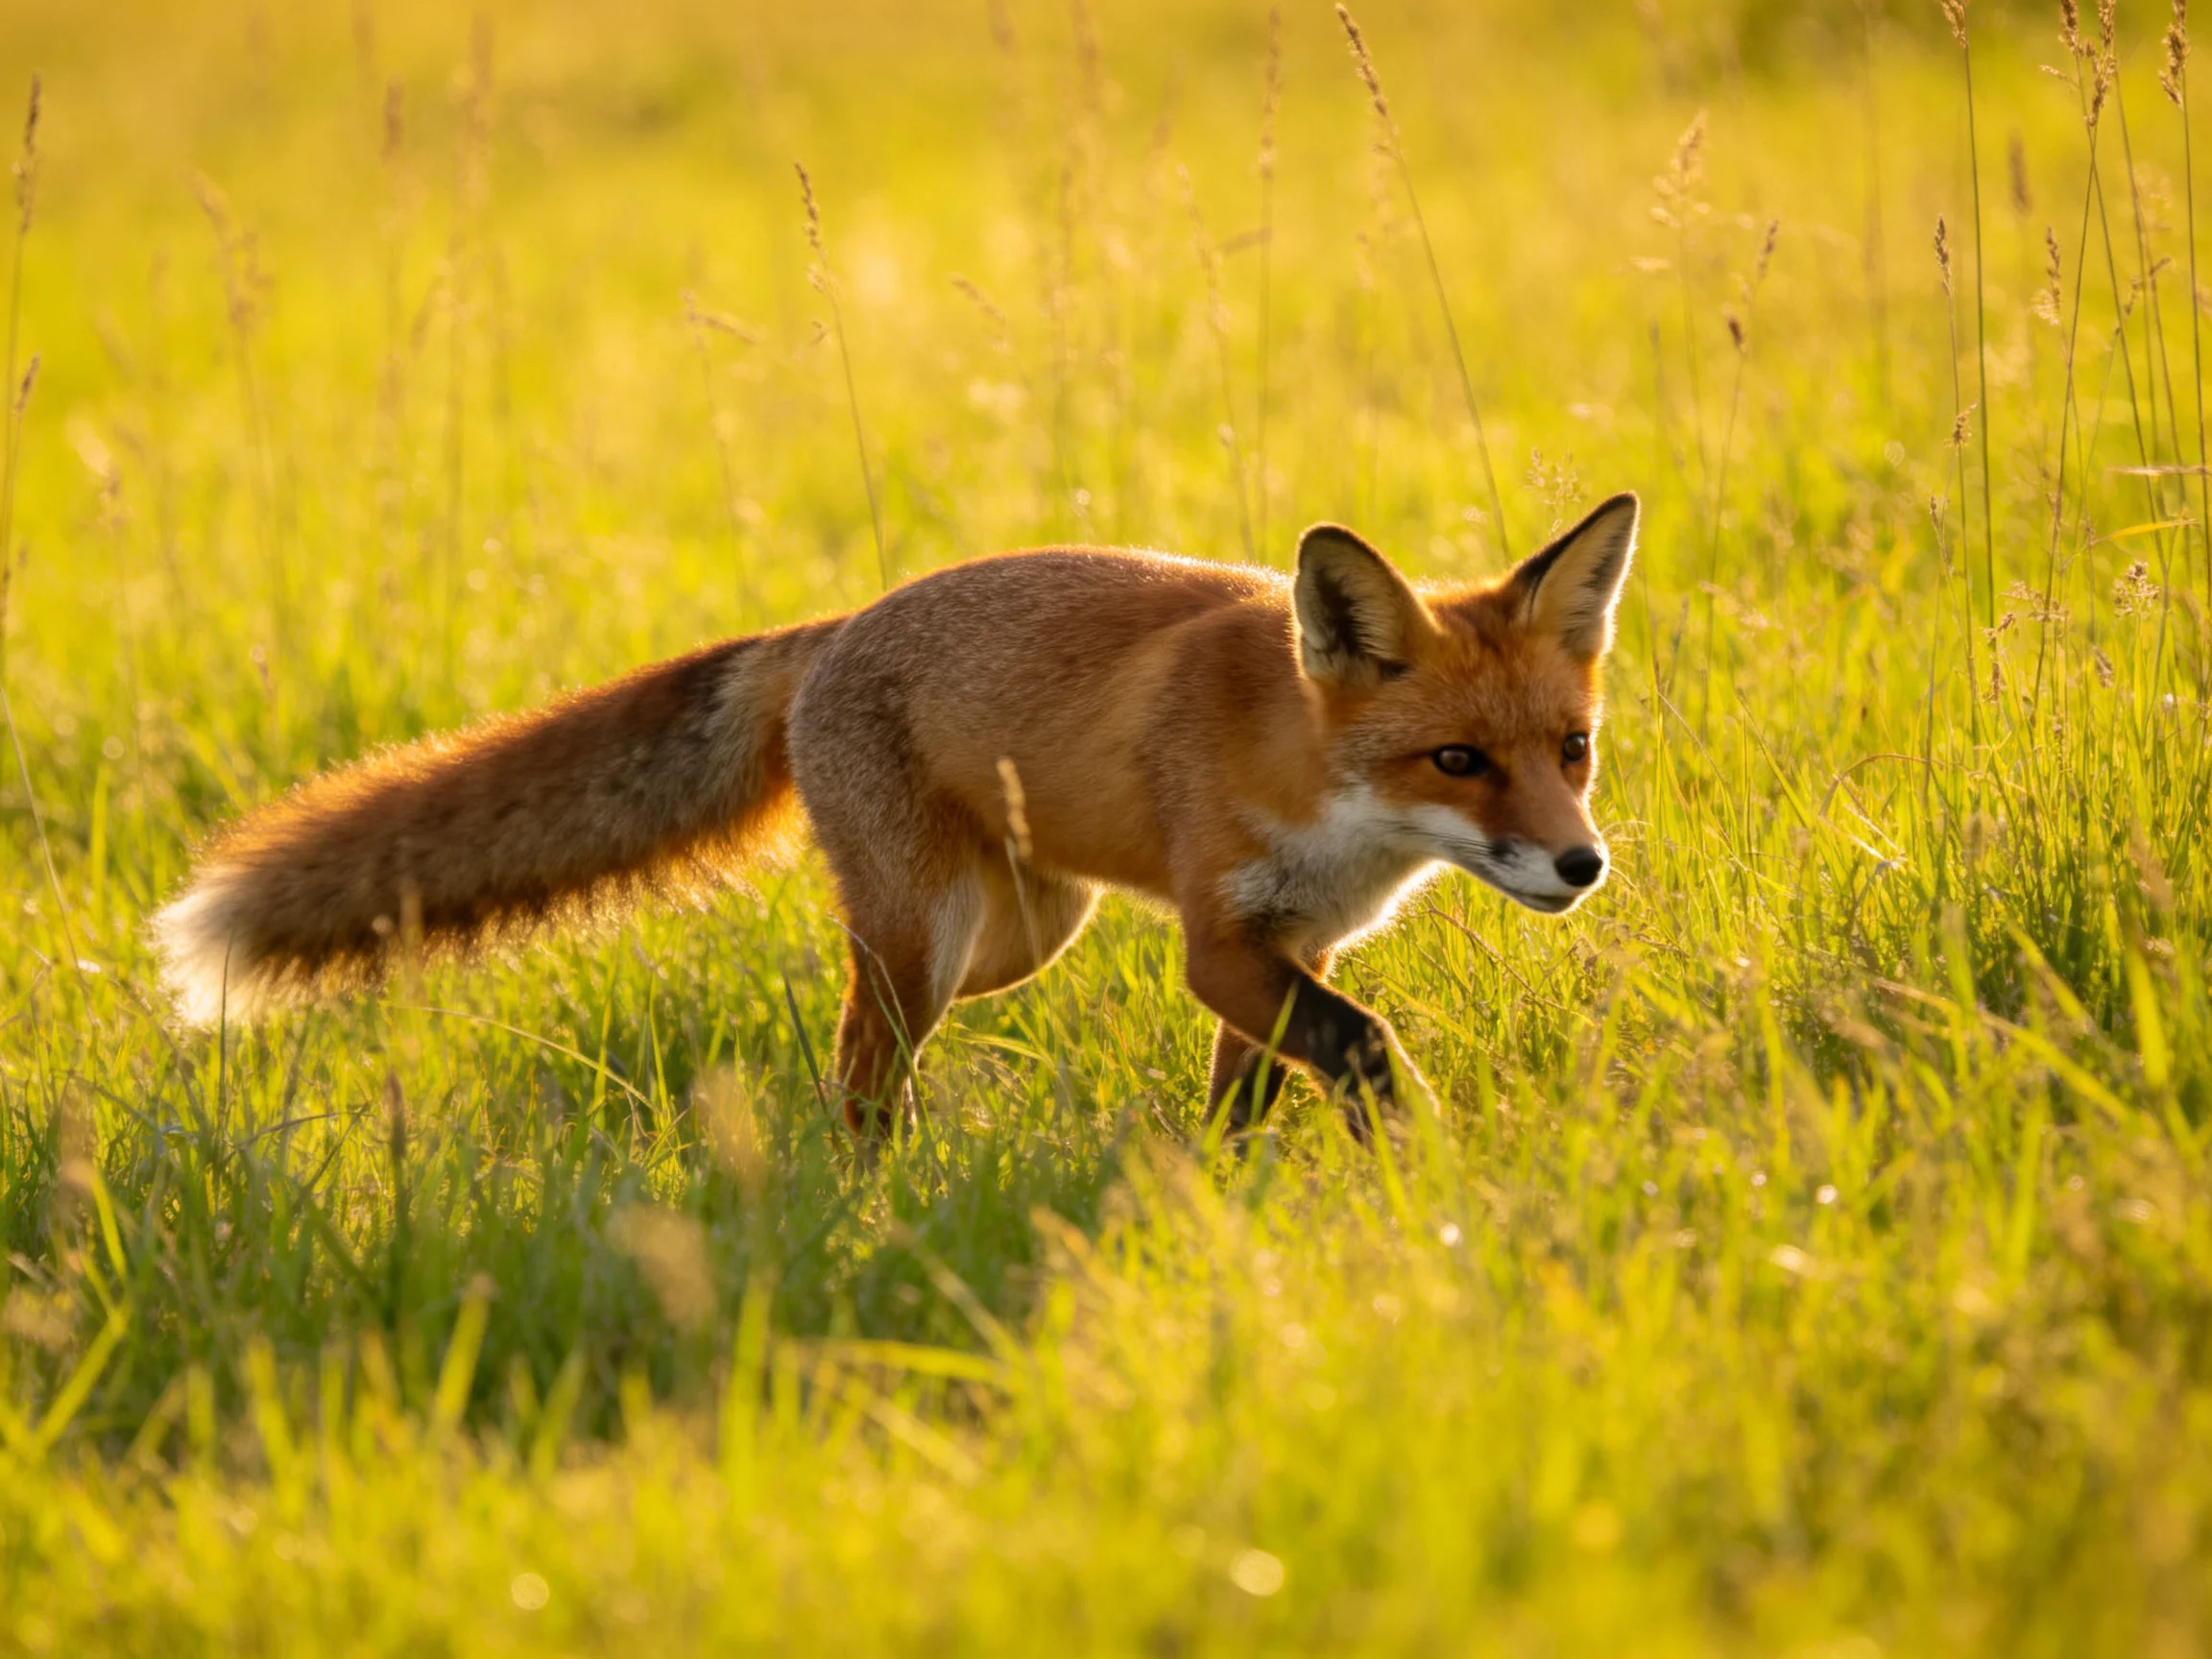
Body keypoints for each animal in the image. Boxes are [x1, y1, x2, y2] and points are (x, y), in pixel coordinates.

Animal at [153, 491, 1639, 1138]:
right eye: (1456, 760)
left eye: (1570, 749)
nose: (1581, 865)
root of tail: (830, 630)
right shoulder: (1221, 942)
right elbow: (1365, 1043)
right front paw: (1435, 1158)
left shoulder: (1295, 947)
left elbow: (1262, 1084)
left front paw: (1228, 1195)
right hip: (933, 935)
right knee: (860, 1067)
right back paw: (870, 1194)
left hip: (1015, 935)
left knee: (873, 1044)